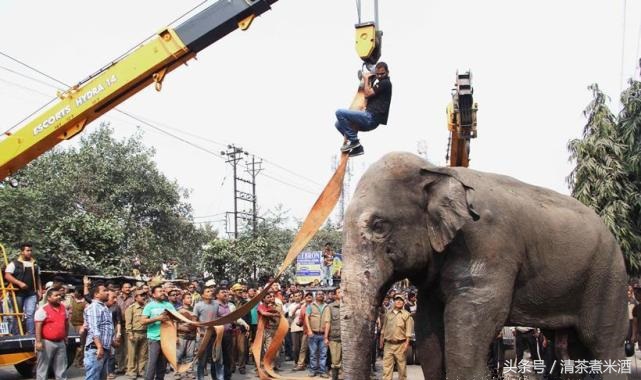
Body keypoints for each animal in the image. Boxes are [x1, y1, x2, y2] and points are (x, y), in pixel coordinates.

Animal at [340, 152, 624, 380]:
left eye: (378, 226)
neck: (438, 171)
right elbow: (429, 330)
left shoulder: (487, 245)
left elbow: (471, 320)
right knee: (569, 347)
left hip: (607, 276)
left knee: (602, 342)